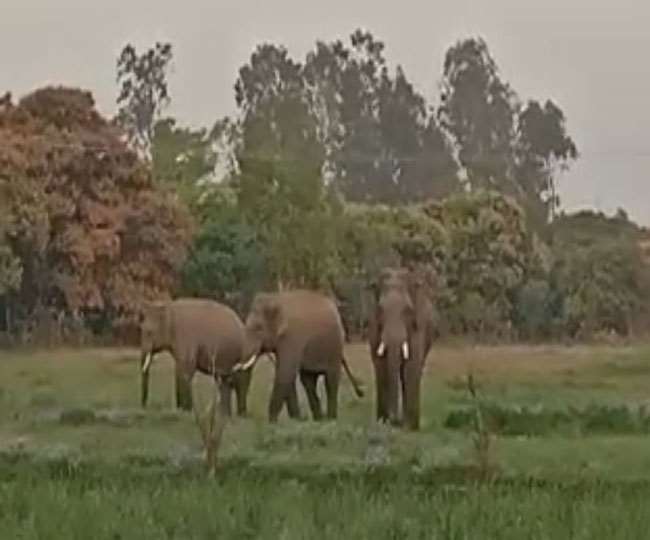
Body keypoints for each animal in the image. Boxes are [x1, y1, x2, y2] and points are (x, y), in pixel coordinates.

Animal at [243, 288, 364, 424]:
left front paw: (272, 423)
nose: (247, 415)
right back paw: (319, 420)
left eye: (258, 329)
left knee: (330, 381)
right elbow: (286, 374)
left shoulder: (293, 337)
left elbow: (285, 373)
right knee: (308, 381)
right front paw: (297, 420)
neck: (276, 299)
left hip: (335, 347)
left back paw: (330, 420)